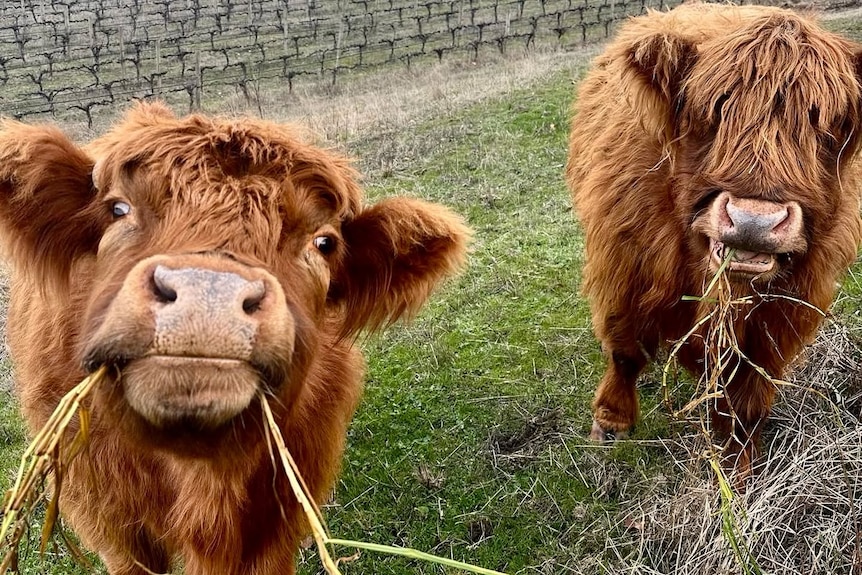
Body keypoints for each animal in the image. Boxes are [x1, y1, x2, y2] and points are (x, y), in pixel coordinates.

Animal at [566, 3, 862, 481]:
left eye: (823, 121)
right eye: (717, 109)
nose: (753, 221)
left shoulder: (787, 310)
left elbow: (749, 391)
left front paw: (739, 466)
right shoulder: (624, 266)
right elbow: (624, 350)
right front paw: (611, 423)